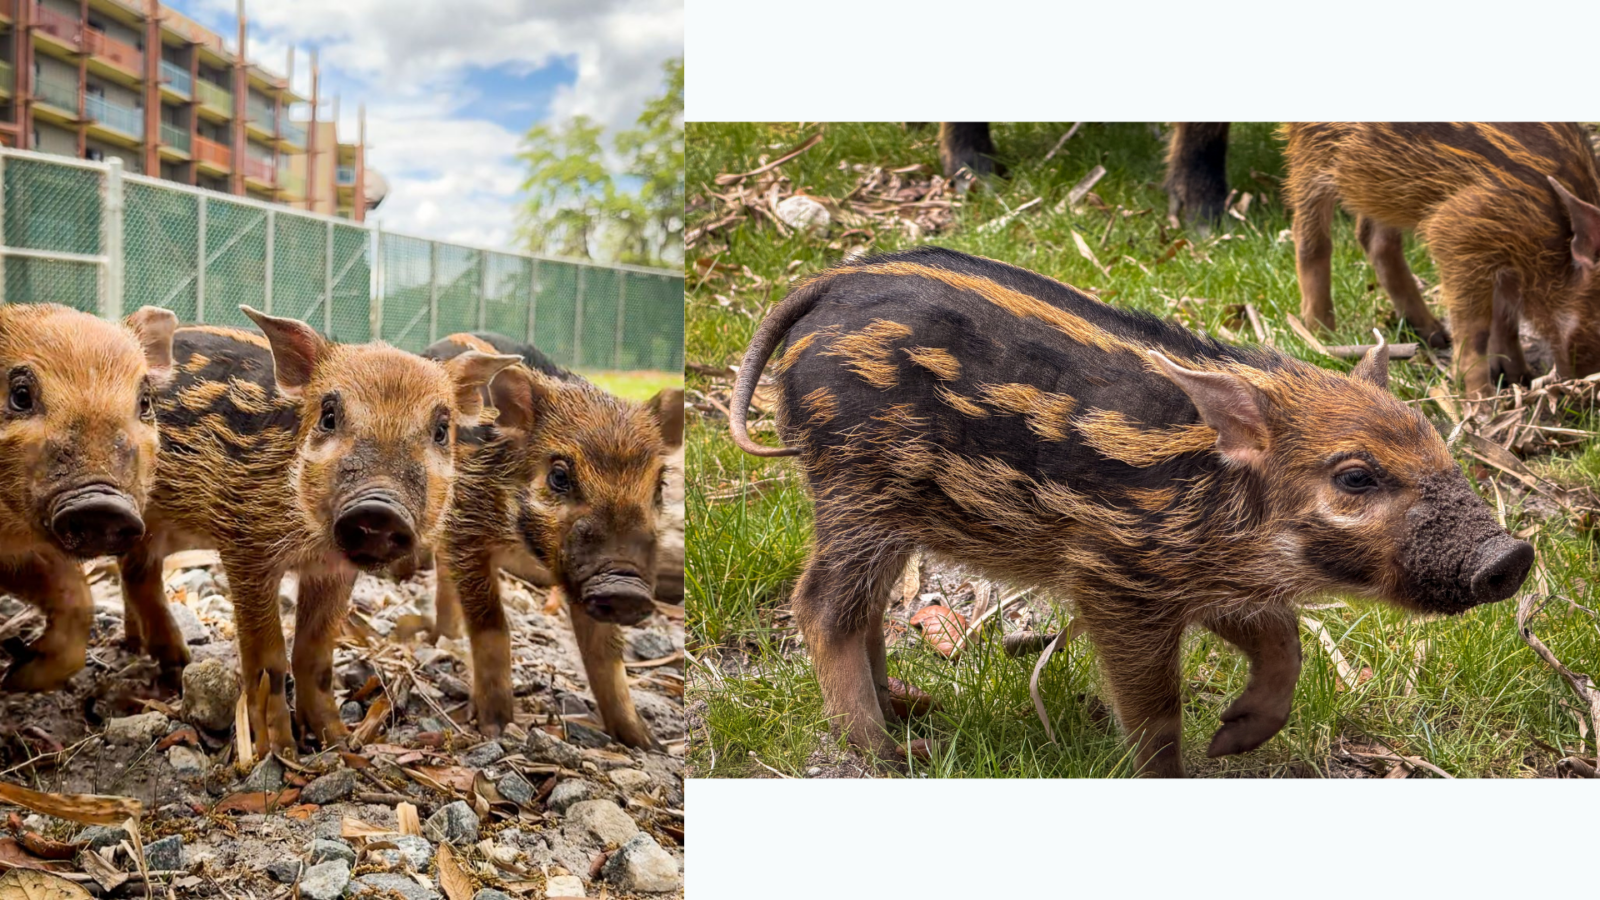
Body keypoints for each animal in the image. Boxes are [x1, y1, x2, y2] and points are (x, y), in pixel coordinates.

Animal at [115, 310, 517, 754]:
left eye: (442, 430)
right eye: (328, 415)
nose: (380, 507)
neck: (310, 543)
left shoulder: (333, 570)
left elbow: (315, 655)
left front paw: (339, 742)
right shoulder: (245, 546)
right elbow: (268, 658)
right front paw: (277, 751)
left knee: (134, 570)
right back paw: (178, 662)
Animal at [421, 332, 682, 747]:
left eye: (660, 487)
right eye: (559, 476)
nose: (624, 584)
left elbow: (605, 652)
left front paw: (645, 743)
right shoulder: (467, 532)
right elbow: (492, 626)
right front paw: (495, 728)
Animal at [729, 247, 1533, 776]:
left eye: (1433, 440)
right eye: (1356, 477)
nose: (1513, 556)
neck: (1217, 501)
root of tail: (821, 291)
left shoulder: (1209, 580)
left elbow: (1283, 640)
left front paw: (1231, 739)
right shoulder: (1115, 578)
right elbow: (1155, 709)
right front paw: (1179, 769)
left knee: (863, 608)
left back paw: (912, 706)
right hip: (855, 487)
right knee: (821, 604)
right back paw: (892, 751)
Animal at [1283, 122, 1600, 398]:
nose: (1581, 383)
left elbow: (1505, 313)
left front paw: (1519, 377)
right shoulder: (1457, 231)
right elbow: (1477, 329)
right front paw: (1482, 400)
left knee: (1374, 239)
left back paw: (1435, 335)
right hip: (1312, 155)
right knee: (1310, 237)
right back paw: (1321, 334)